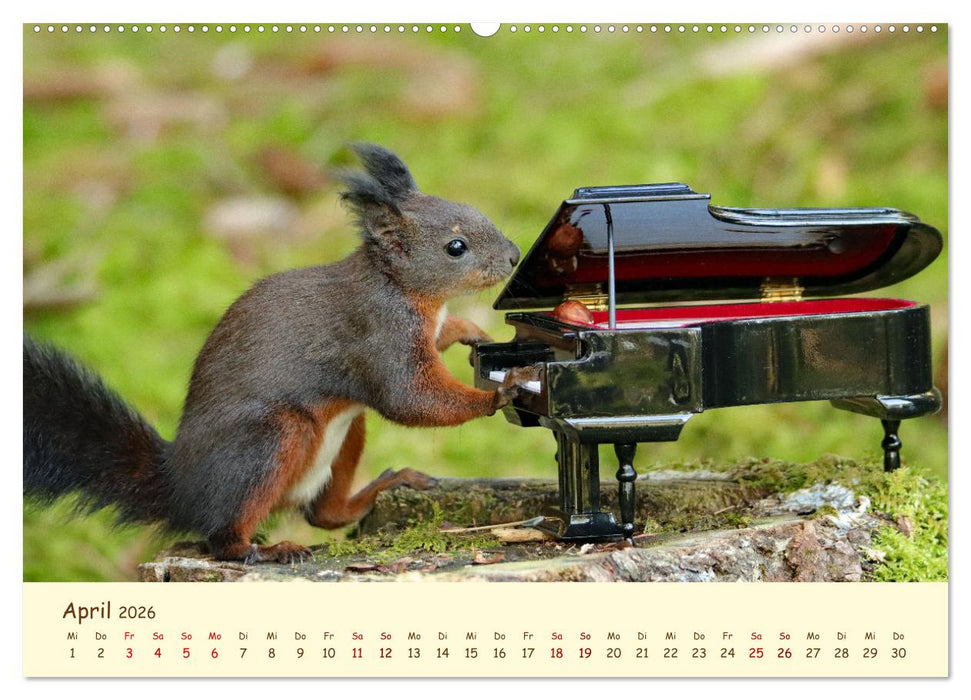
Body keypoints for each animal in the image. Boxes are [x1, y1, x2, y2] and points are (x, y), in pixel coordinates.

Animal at [24, 143, 537, 564]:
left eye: (476, 211)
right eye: (456, 247)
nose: (515, 256)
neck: (400, 286)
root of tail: (180, 487)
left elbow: (442, 340)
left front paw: (472, 331)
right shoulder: (379, 332)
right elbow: (411, 399)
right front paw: (502, 391)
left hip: (345, 431)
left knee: (324, 514)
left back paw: (386, 486)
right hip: (272, 440)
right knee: (224, 534)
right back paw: (262, 550)